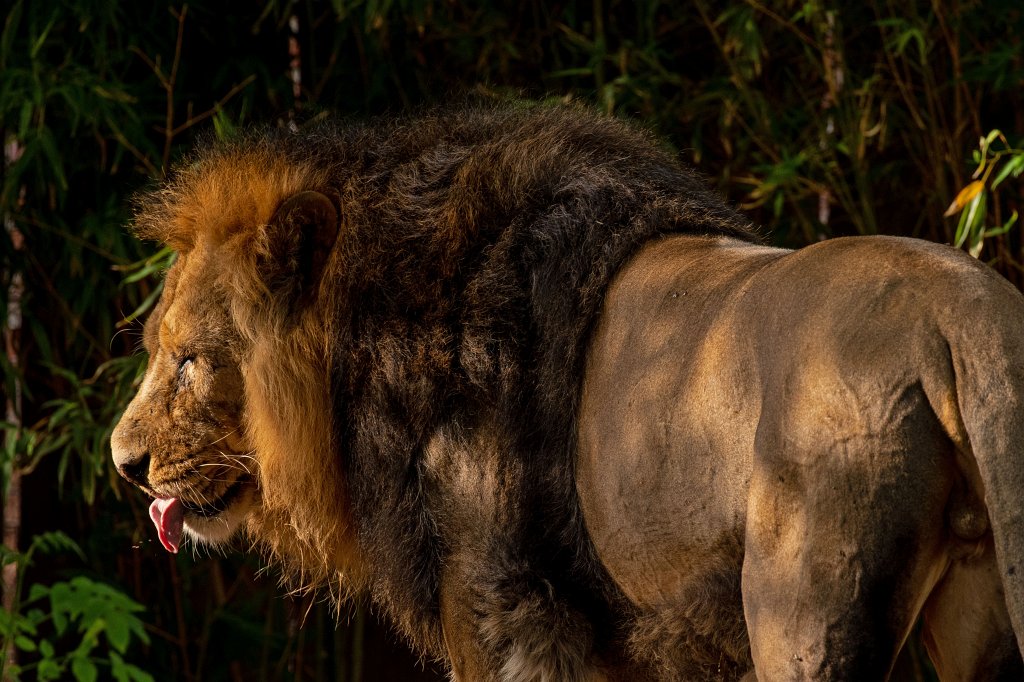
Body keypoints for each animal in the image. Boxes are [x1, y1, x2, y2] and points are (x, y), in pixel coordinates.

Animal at [110, 103, 1024, 680]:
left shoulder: (494, 605)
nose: (122, 462)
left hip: (803, 611)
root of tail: (964, 309)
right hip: (981, 616)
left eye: (189, 360)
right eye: (159, 352)